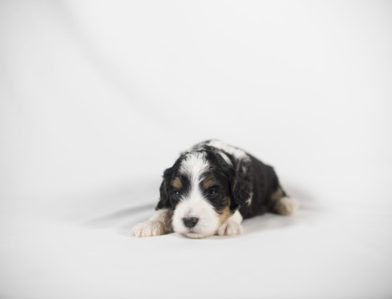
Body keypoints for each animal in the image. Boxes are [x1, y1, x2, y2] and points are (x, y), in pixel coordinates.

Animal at [132, 139, 298, 240]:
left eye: (212, 192)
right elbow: (164, 210)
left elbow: (237, 207)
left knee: (279, 192)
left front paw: (229, 224)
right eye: (176, 193)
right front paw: (148, 225)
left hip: (272, 177)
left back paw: (286, 204)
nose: (189, 221)